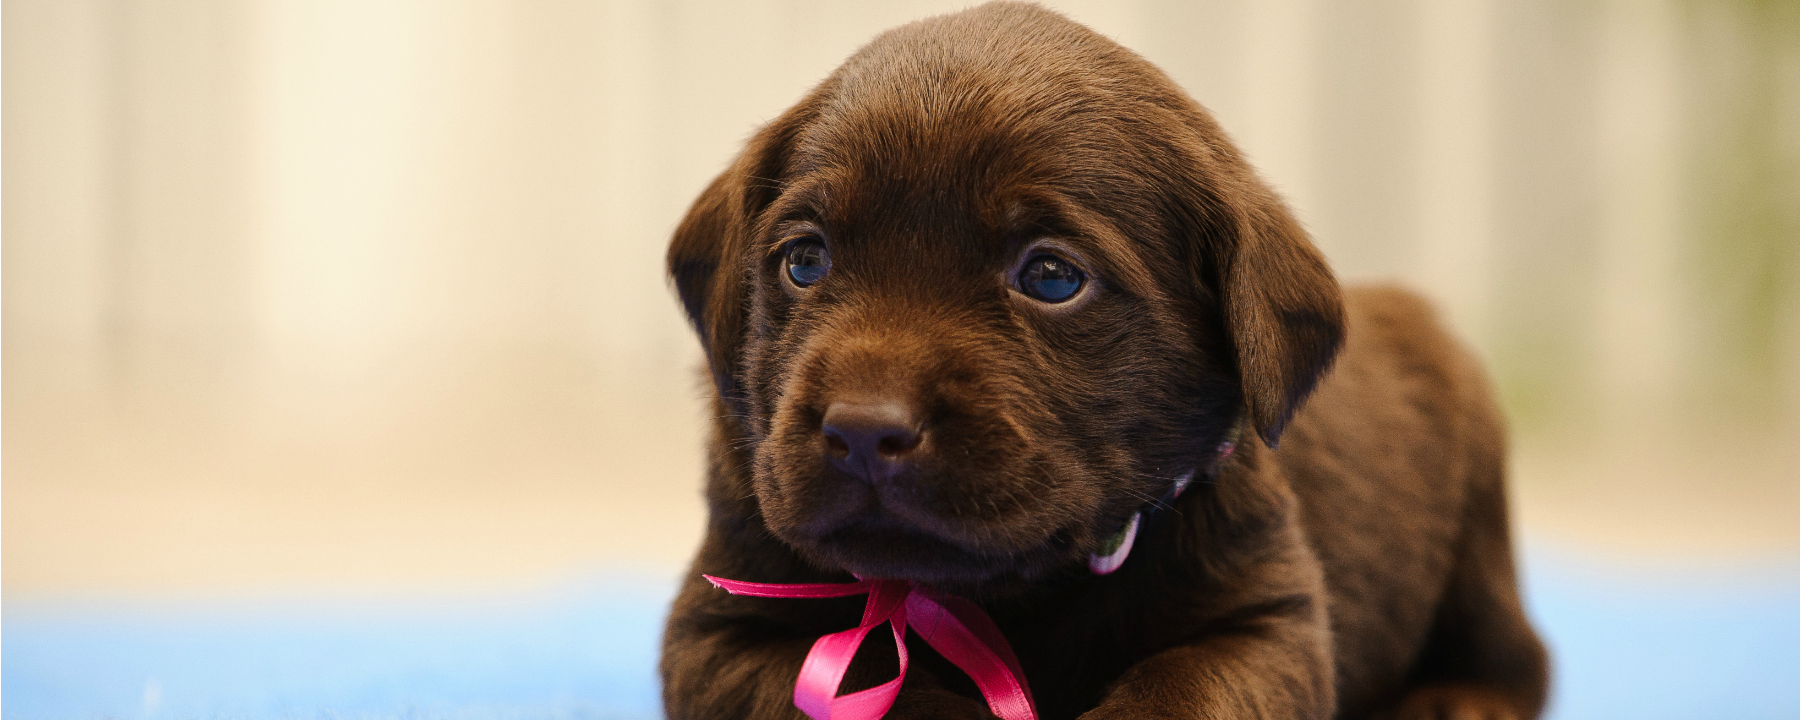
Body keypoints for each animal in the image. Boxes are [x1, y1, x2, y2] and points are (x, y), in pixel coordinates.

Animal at [658, 2, 1548, 716]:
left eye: (1052, 277)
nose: (863, 432)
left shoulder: (1266, 622)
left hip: (1478, 541)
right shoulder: (718, 632)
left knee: (1513, 661)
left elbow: (1185, 690)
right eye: (804, 261)